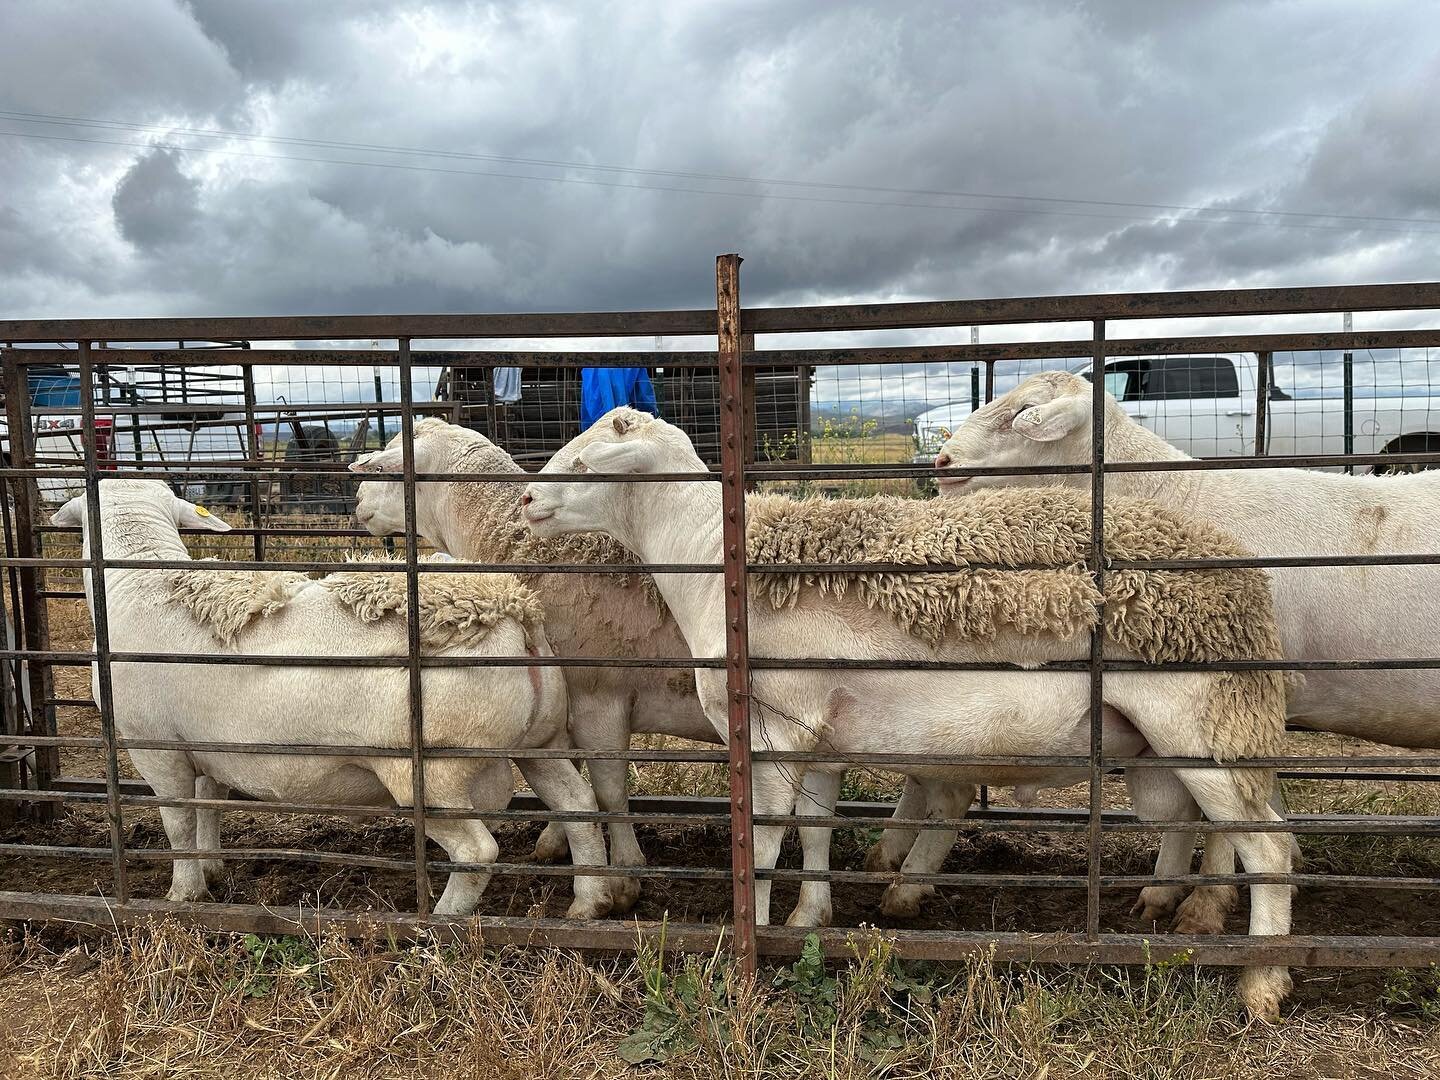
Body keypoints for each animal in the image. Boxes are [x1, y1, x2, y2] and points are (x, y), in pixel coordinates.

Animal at [54, 480, 613, 921]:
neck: (135, 578)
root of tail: (509, 611)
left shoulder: (153, 744)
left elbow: (178, 819)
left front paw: (183, 895)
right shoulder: (205, 745)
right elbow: (209, 803)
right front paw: (212, 871)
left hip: (432, 770)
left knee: (477, 850)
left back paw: (440, 919)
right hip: (539, 740)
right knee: (579, 805)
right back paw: (591, 902)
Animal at [348, 417, 933, 915]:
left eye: (387, 467)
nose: (355, 502)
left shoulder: (598, 694)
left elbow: (607, 789)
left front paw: (623, 876)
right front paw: (559, 843)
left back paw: (907, 878)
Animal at [524, 408, 1301, 1025]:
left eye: (587, 461)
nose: (527, 497)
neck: (714, 561)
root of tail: (1246, 583)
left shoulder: (775, 727)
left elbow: (765, 841)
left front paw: (755, 939)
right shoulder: (821, 736)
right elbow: (814, 831)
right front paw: (810, 919)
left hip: (1200, 721)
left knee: (1267, 847)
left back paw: (1262, 981)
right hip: (1194, 734)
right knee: (1233, 826)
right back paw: (1180, 911)